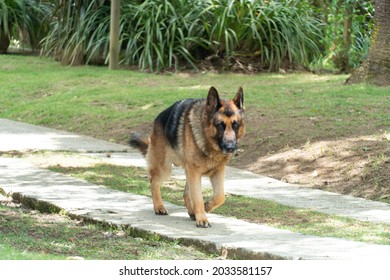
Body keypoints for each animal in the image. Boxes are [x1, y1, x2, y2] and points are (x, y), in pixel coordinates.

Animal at [129, 87, 245, 228]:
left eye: (235, 125)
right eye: (220, 125)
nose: (230, 147)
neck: (209, 144)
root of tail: (159, 117)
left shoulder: (217, 171)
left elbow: (220, 197)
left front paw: (206, 207)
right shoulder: (195, 172)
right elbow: (198, 197)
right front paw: (202, 218)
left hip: (188, 170)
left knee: (185, 193)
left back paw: (191, 211)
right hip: (165, 168)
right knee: (154, 182)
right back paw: (159, 206)